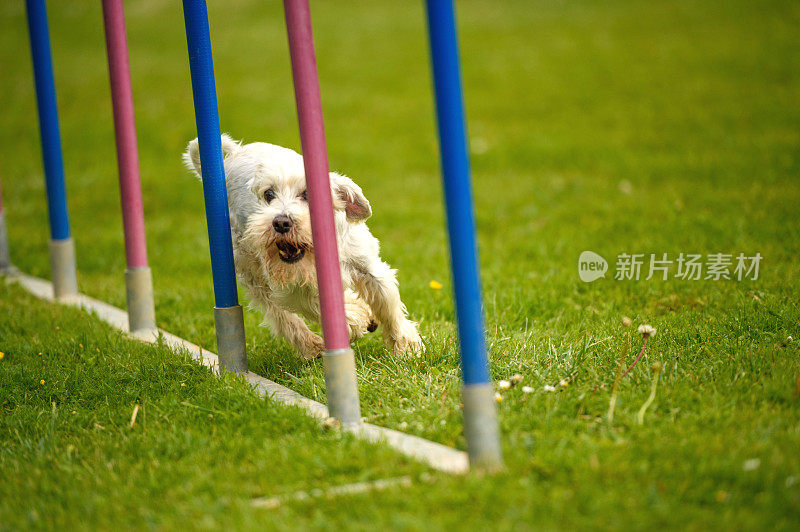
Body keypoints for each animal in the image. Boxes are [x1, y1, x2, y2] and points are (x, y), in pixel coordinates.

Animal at [184, 136, 422, 362]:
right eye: (269, 194)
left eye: (308, 194)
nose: (281, 222)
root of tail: (233, 155)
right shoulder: (293, 288)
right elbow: (320, 304)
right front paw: (359, 318)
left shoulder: (368, 268)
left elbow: (388, 305)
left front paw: (405, 347)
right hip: (253, 272)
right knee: (279, 315)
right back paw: (311, 345)